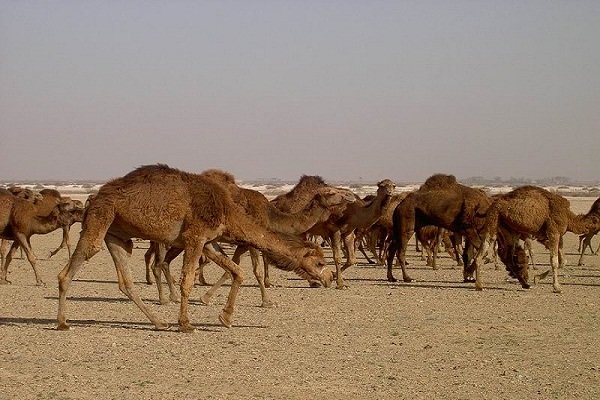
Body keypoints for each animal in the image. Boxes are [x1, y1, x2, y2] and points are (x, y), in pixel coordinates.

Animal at [56, 164, 336, 332]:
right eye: (320, 262)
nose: (330, 277)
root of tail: (94, 196)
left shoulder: (209, 242)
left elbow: (237, 271)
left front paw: (225, 317)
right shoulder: (196, 237)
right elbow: (189, 280)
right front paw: (186, 323)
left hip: (117, 233)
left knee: (127, 281)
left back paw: (159, 322)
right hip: (101, 216)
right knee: (74, 265)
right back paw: (62, 322)